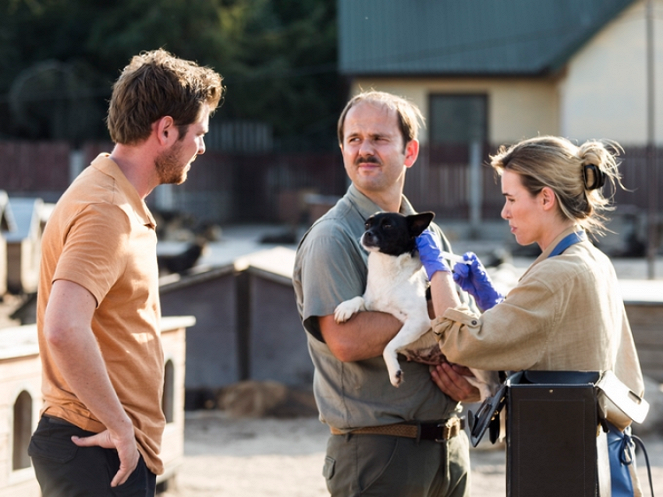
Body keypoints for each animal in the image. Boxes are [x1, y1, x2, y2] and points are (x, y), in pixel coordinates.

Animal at [338, 211, 498, 398]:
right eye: (367, 224)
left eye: (388, 225)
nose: (367, 234)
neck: (388, 269)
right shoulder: (373, 304)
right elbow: (360, 299)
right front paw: (346, 307)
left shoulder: (418, 321)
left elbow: (388, 346)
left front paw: (394, 372)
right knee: (482, 386)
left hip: (469, 357)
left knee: (491, 386)